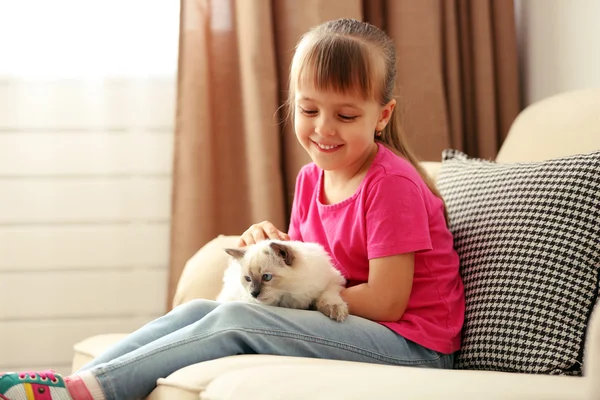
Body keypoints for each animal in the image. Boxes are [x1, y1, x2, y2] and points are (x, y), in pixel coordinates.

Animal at [217, 238, 350, 322]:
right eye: (248, 279)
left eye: (267, 277)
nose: (253, 293)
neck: (290, 294)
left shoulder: (333, 280)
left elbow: (328, 296)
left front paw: (335, 311)